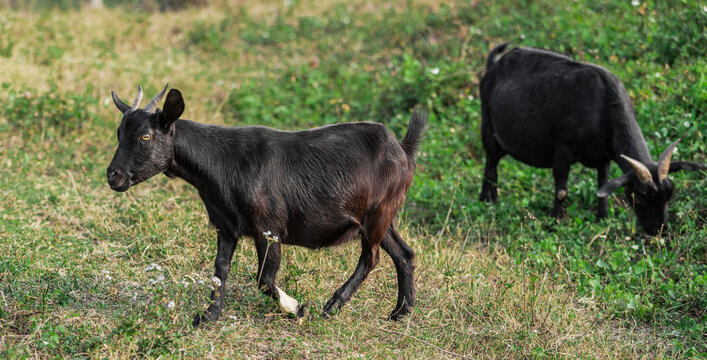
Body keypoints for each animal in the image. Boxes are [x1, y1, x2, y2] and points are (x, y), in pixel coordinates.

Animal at [106, 86, 426, 324]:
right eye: (119, 134)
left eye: (145, 136)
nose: (113, 175)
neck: (223, 163)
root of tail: (403, 149)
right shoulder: (226, 226)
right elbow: (220, 270)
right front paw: (208, 316)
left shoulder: (269, 227)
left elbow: (264, 278)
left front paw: (297, 308)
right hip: (383, 215)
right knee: (403, 253)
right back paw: (401, 312)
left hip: (377, 214)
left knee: (371, 257)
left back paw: (332, 305)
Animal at [478, 43, 704, 235]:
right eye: (638, 197)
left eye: (670, 194)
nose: (659, 231)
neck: (603, 106)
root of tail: (493, 66)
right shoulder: (562, 150)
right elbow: (561, 191)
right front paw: (554, 223)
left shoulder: (603, 155)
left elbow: (602, 183)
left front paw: (602, 218)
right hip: (487, 126)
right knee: (490, 165)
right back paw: (490, 201)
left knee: (492, 162)